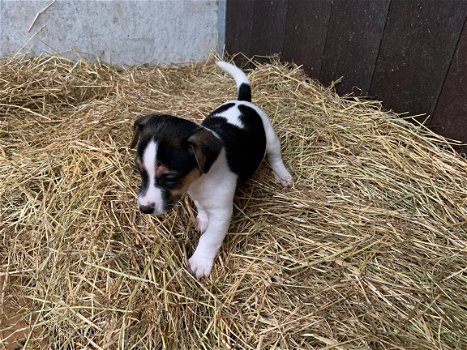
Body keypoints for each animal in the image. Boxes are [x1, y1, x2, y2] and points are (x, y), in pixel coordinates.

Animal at [130, 60, 292, 278]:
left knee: (275, 156)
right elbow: (201, 207)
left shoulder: (221, 213)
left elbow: (210, 238)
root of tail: (242, 102)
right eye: (140, 171)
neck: (199, 180)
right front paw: (202, 219)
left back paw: (282, 175)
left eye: (170, 178)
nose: (144, 209)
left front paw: (200, 262)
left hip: (270, 136)